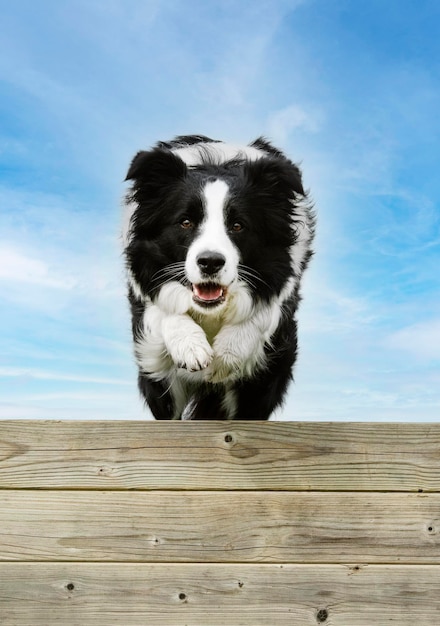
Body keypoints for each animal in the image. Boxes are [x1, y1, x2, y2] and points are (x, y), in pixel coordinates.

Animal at [122, 133, 314, 416]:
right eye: (185, 222)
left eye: (238, 225)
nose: (210, 262)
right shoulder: (145, 282)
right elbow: (160, 310)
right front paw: (191, 347)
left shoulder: (283, 284)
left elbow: (264, 313)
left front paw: (226, 354)